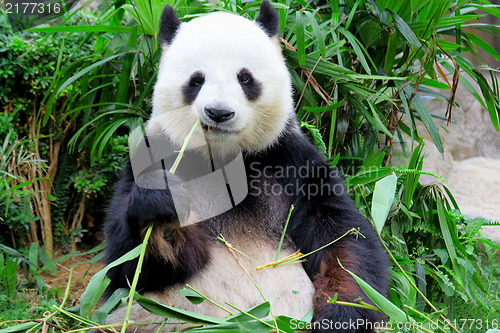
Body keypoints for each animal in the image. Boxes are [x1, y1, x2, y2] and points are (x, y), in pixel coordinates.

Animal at [103, 1, 388, 330]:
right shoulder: (156, 153)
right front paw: (164, 211)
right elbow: (129, 266)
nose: (218, 113)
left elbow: (341, 239)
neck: (225, 157)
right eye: (196, 80)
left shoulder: (289, 162)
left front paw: (342, 313)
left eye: (245, 78)